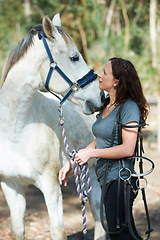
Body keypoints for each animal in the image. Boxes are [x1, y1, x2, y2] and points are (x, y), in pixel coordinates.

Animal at [0, 13, 106, 240]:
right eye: (74, 57)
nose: (101, 97)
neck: (15, 131)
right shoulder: (11, 186)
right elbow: (17, 229)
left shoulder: (50, 186)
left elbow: (58, 231)